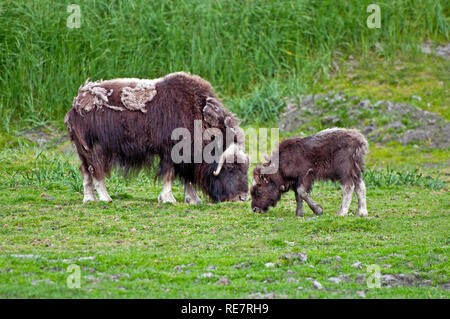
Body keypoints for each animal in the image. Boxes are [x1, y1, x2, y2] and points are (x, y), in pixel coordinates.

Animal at [65, 72, 250, 204]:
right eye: (230, 167)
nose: (242, 198)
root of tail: (76, 105)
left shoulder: (187, 156)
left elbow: (187, 178)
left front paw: (193, 199)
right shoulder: (170, 151)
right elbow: (169, 174)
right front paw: (168, 199)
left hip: (83, 151)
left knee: (84, 170)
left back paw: (89, 199)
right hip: (95, 148)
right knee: (95, 170)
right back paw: (105, 198)